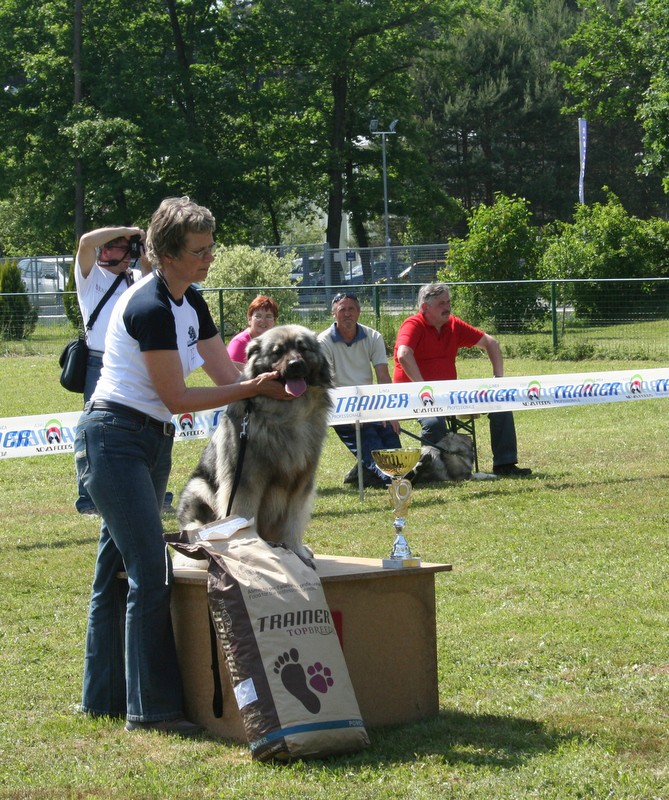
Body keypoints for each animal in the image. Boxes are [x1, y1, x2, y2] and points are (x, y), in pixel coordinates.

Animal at [176, 324, 332, 564]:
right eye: (277, 352)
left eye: (303, 348)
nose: (295, 365)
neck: (288, 413)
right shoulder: (245, 483)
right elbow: (247, 516)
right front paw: (259, 550)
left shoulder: (301, 481)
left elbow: (294, 521)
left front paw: (296, 550)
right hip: (200, 487)